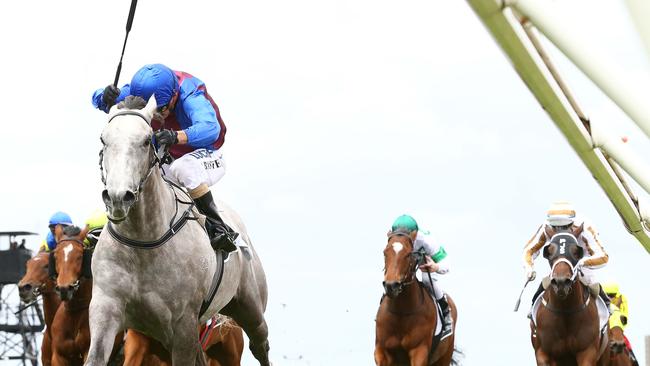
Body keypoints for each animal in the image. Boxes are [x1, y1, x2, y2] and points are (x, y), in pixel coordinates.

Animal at [84, 96, 270, 364]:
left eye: (146, 140)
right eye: (103, 139)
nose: (118, 198)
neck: (143, 243)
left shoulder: (183, 325)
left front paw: (168, 136)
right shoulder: (106, 309)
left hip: (250, 307)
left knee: (260, 344)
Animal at [372, 230, 458, 364]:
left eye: (408, 254)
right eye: (385, 252)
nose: (391, 285)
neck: (401, 312)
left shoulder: (420, 351)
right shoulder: (381, 350)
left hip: (445, 356)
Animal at [528, 230, 604, 364]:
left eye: (576, 251)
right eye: (549, 252)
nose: (561, 282)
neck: (565, 312)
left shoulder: (588, 352)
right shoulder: (542, 353)